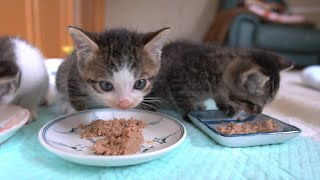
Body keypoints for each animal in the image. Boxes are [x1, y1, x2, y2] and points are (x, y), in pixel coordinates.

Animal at [151, 41, 294, 119]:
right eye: (252, 104)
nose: (259, 112)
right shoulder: (178, 80)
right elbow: (184, 101)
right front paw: (190, 114)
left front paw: (226, 105)